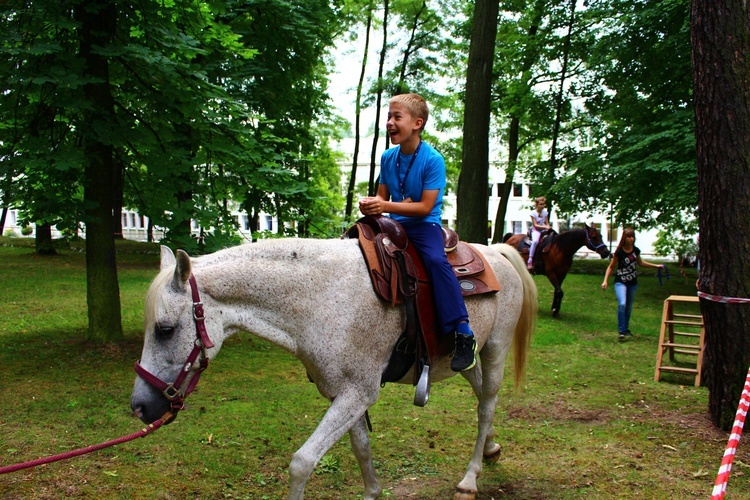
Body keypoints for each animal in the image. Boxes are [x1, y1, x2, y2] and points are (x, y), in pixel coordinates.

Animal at [132, 239, 536, 500]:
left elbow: (302, 462)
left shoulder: (357, 394)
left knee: (486, 404)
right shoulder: (344, 394)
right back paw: (491, 448)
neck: (323, 297)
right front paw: (372, 491)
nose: (140, 406)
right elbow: (362, 450)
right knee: (483, 397)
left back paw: (470, 477)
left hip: (495, 350)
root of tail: (495, 251)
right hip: (463, 359)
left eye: (165, 329)